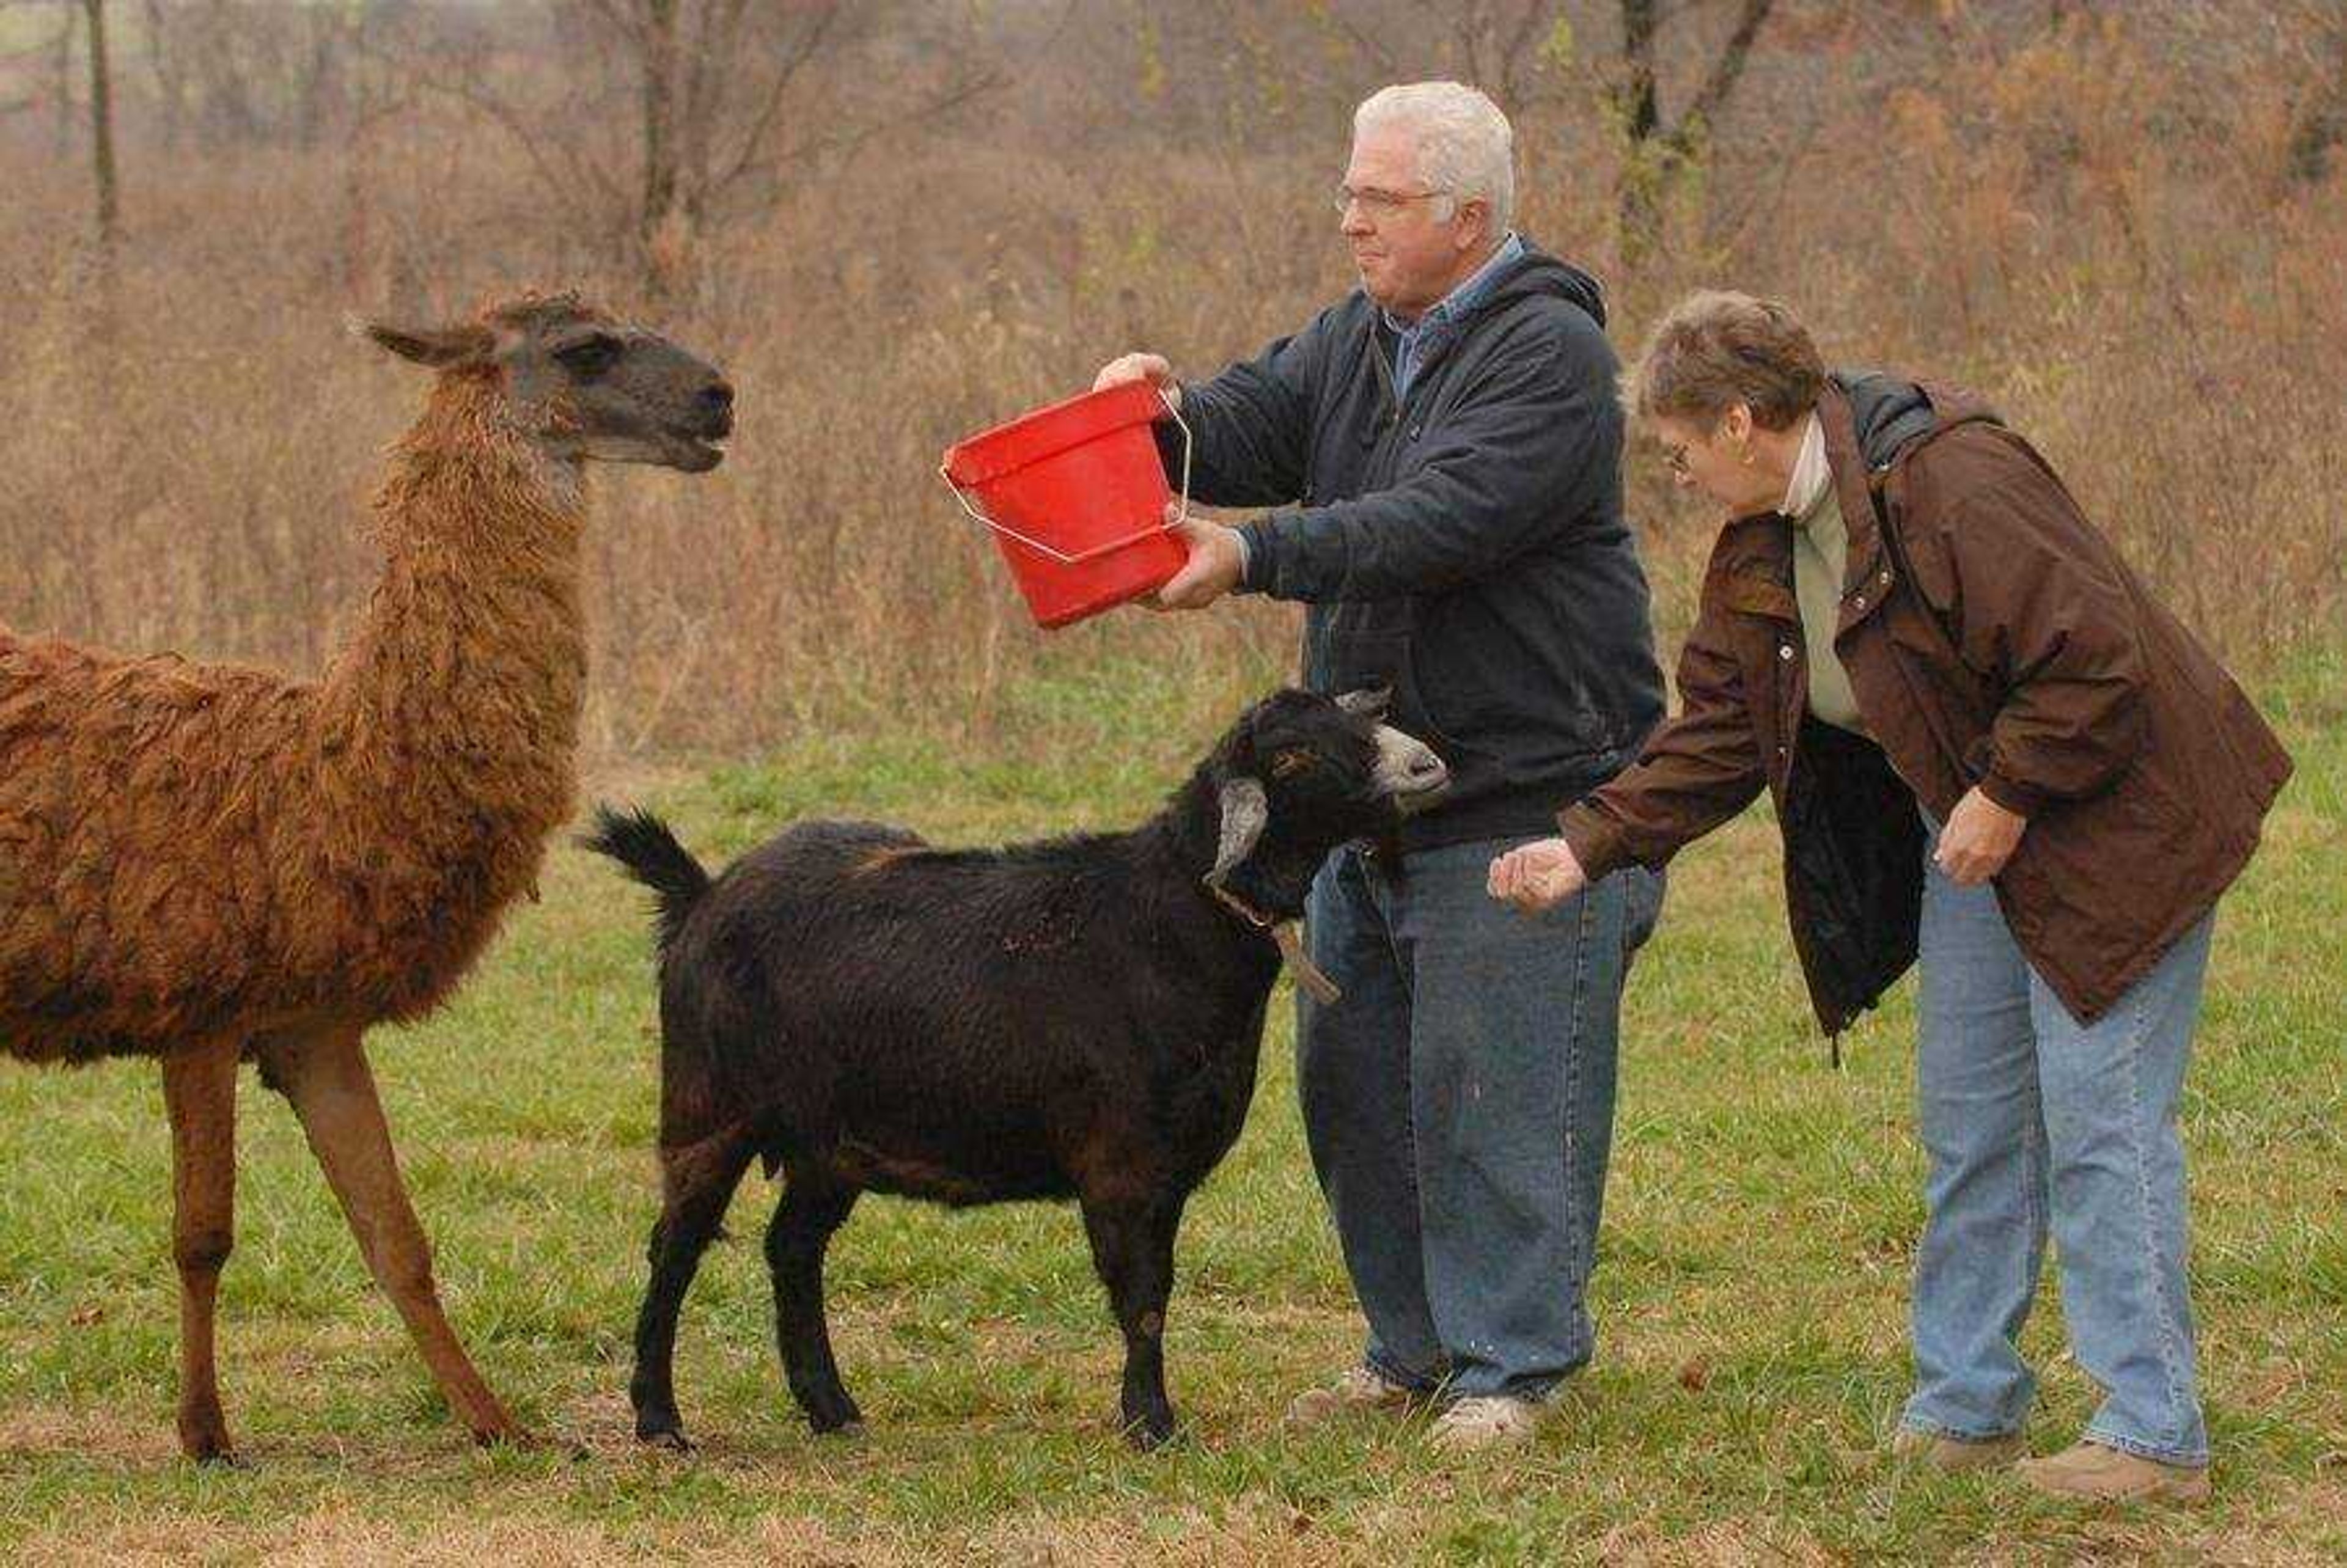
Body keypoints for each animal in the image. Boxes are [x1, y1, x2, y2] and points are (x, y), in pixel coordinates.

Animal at [587, 690, 1445, 1455]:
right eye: (1294, 754)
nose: (1425, 764)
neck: (1169, 925)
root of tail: (701, 894)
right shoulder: (1123, 1164)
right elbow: (1145, 1296)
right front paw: (1153, 1426)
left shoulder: (1164, 1170)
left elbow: (1154, 1292)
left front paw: (1148, 1418)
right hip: (708, 1108)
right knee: (676, 1248)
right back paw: (660, 1420)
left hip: (831, 1141)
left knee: (792, 1249)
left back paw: (831, 1407)